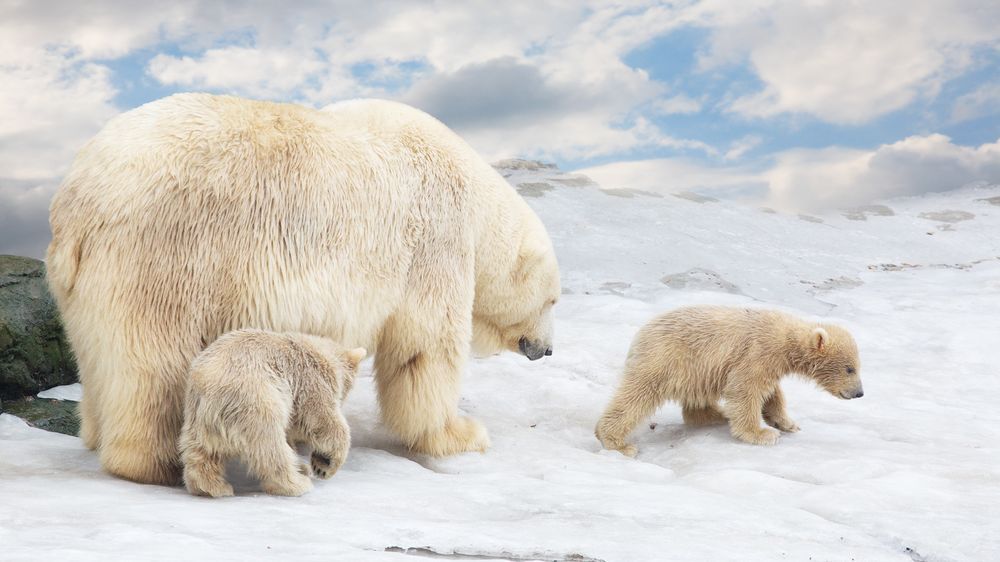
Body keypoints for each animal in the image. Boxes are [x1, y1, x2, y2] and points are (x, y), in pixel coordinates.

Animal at [47, 92, 560, 482]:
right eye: (554, 300)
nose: (548, 350)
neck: (474, 197)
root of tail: (77, 199)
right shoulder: (434, 241)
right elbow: (425, 347)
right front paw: (463, 434)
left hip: (84, 288)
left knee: (97, 359)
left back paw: (94, 434)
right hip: (167, 257)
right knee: (154, 364)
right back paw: (154, 463)